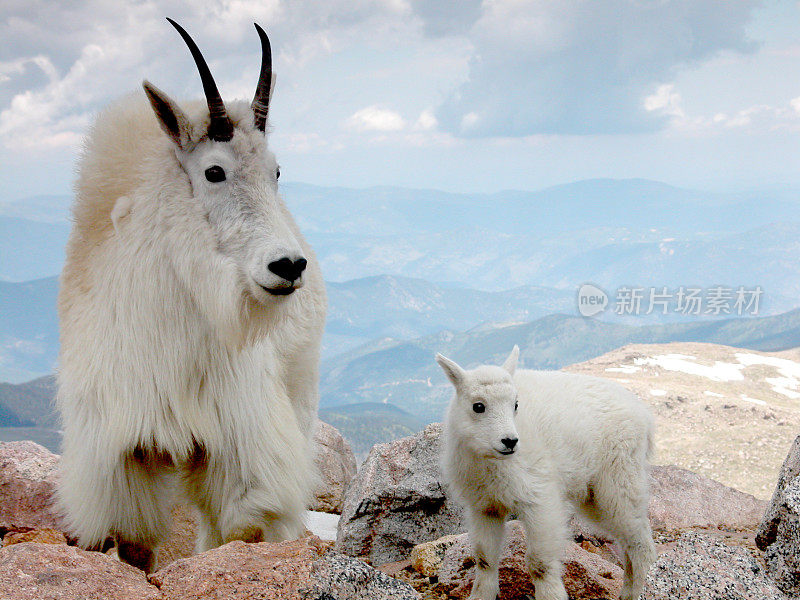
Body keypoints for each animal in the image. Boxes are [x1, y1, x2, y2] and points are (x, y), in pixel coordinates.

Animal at [55, 18, 324, 572]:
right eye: (213, 171)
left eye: (276, 172)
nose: (287, 266)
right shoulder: (121, 451)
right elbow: (134, 543)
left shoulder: (241, 442)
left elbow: (239, 531)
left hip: (298, 399)